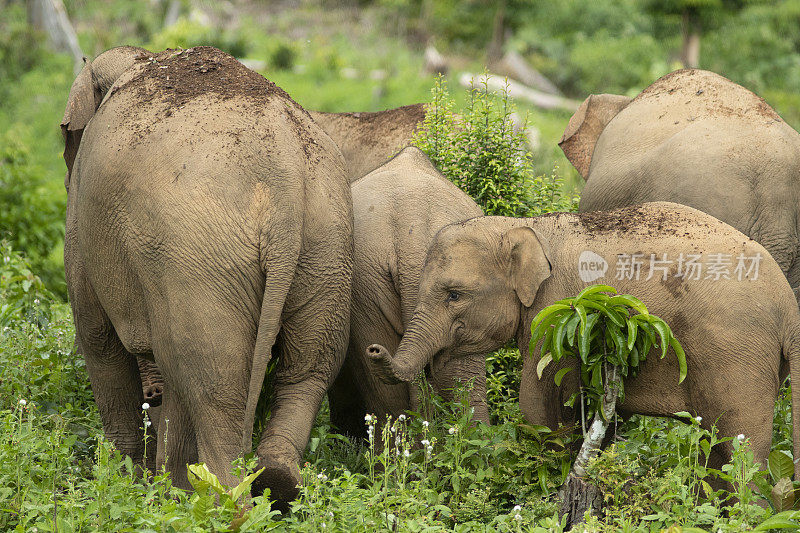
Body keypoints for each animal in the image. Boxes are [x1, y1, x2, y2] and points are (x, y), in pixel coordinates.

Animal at [59, 46, 354, 508]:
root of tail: (286, 164)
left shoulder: (83, 227)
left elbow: (97, 336)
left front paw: (127, 479)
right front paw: (158, 482)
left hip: (199, 257)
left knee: (211, 378)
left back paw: (226, 502)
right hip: (327, 244)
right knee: (310, 364)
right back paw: (277, 482)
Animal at [368, 203, 800, 474]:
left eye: (454, 295)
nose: (373, 349)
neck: (522, 225)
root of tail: (788, 305)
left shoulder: (558, 312)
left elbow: (537, 405)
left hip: (736, 353)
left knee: (741, 446)